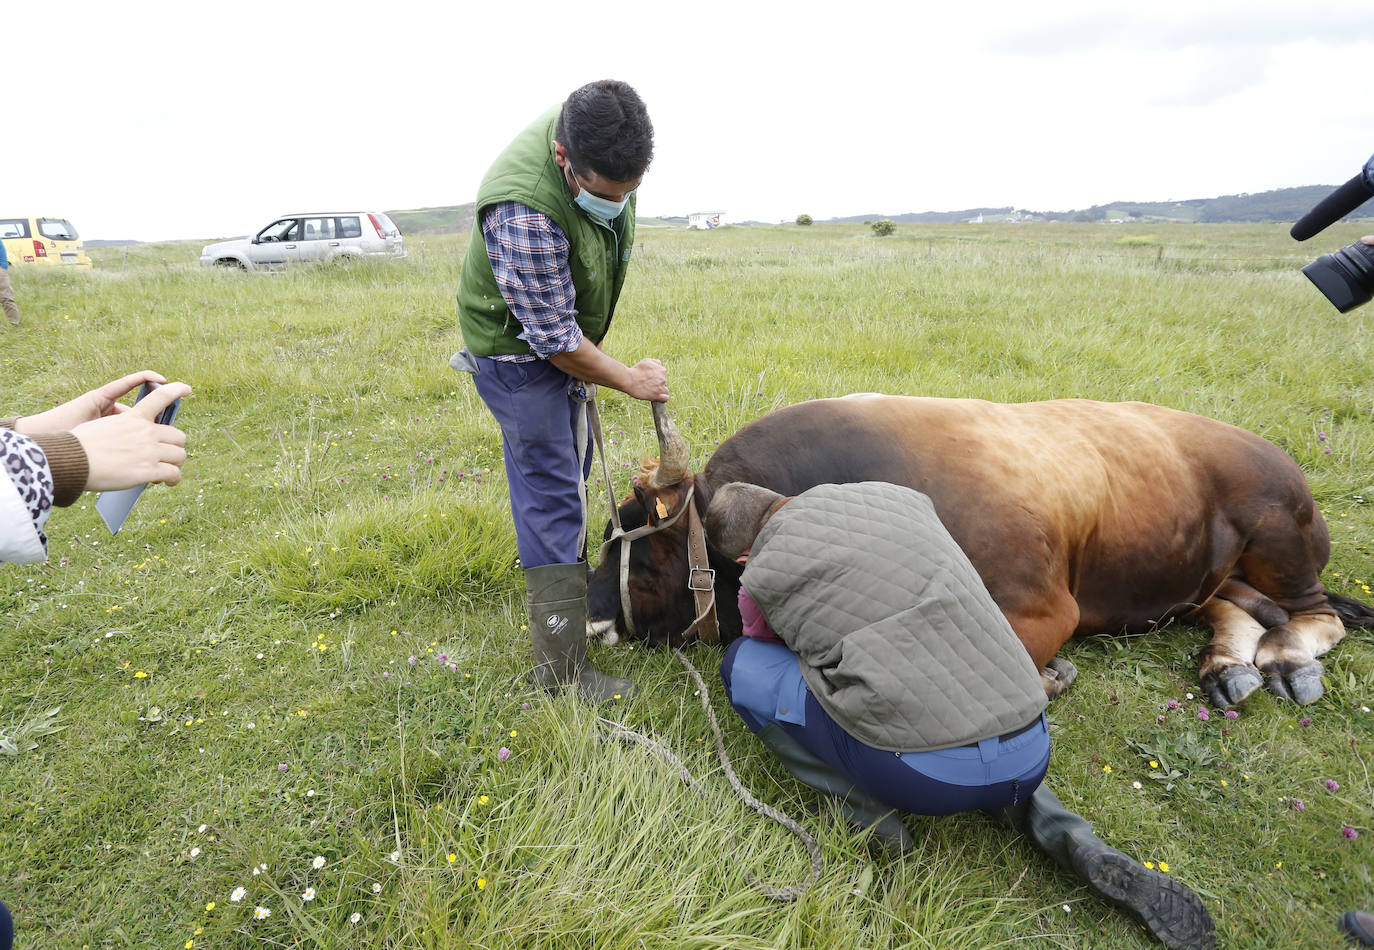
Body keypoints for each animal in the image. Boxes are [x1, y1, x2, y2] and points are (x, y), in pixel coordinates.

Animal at [590, 393, 1374, 703]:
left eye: (644, 553)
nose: (594, 616)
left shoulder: (1039, 609)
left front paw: (1052, 676)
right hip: (1197, 573)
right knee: (1236, 605)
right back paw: (1229, 667)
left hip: (1276, 532)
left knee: (1311, 611)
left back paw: (1286, 660)